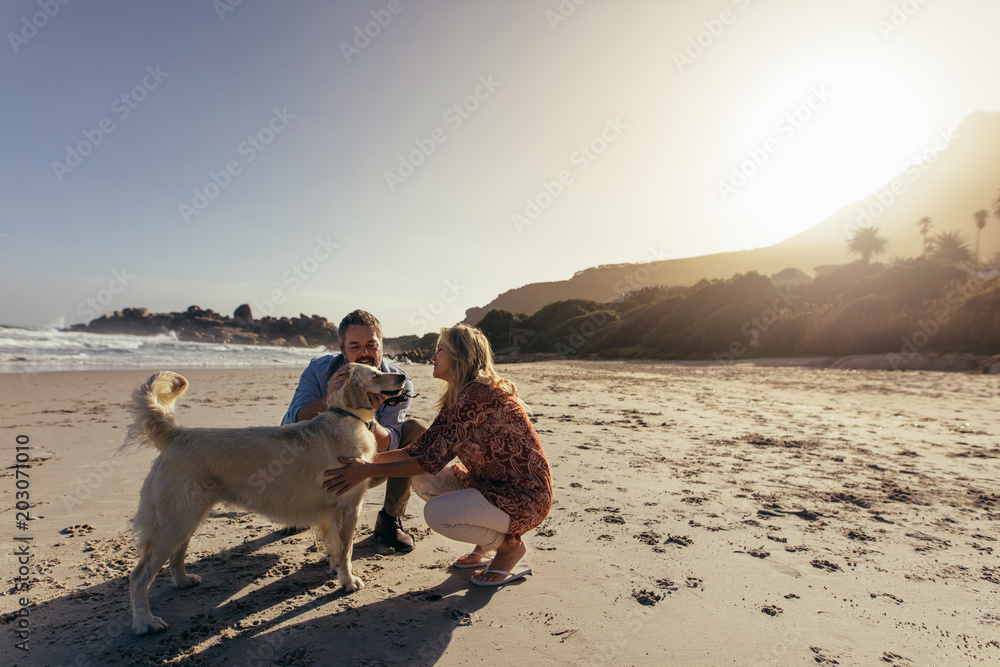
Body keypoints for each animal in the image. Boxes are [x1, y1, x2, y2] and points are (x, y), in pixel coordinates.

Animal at [114, 362, 402, 636]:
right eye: (375, 375)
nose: (401, 376)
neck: (345, 417)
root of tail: (177, 434)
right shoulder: (350, 505)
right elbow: (346, 548)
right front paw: (348, 581)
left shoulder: (330, 513)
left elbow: (335, 545)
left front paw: (335, 569)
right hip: (175, 522)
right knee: (138, 576)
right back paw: (145, 623)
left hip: (186, 517)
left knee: (176, 556)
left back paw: (184, 581)